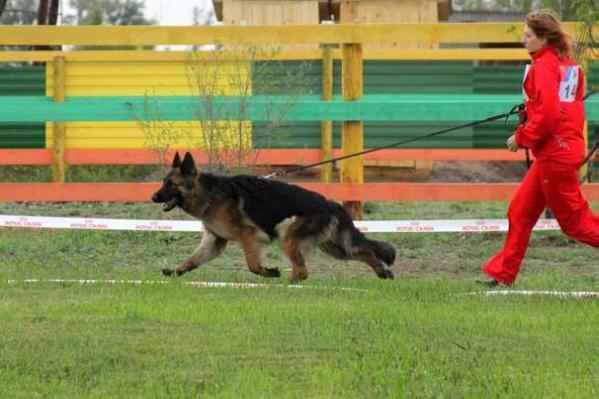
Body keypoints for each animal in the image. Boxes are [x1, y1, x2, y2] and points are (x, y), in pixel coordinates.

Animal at [152, 152, 396, 282]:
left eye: (171, 184)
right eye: (164, 182)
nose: (153, 196)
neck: (209, 194)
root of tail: (330, 203)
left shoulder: (250, 236)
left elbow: (252, 265)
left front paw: (269, 272)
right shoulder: (214, 242)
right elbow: (192, 260)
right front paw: (175, 272)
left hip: (288, 235)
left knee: (302, 271)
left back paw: (288, 282)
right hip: (334, 248)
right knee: (364, 253)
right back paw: (382, 272)